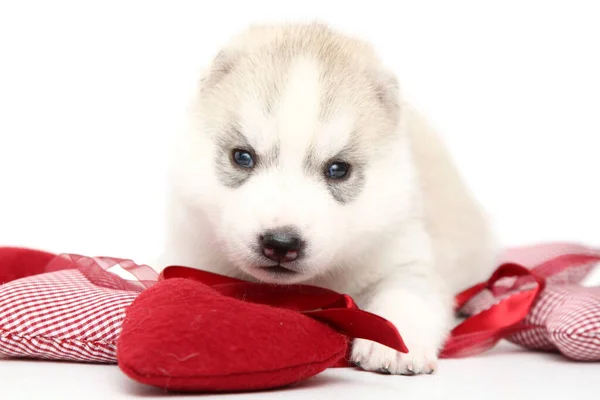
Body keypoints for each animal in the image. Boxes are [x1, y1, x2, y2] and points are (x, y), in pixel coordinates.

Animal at [158, 21, 496, 376]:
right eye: (242, 157)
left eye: (338, 169)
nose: (281, 243)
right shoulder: (188, 256)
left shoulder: (406, 254)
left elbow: (408, 293)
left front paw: (394, 341)